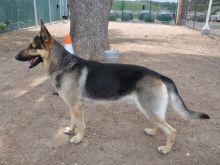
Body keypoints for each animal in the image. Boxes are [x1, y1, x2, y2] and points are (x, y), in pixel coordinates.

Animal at [15, 21, 210, 154]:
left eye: (32, 47)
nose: (16, 57)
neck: (62, 63)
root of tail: (159, 75)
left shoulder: (76, 107)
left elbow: (80, 125)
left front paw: (78, 138)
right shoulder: (73, 106)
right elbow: (73, 121)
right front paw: (71, 131)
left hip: (149, 109)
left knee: (172, 130)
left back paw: (166, 149)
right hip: (149, 109)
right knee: (159, 124)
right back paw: (152, 132)